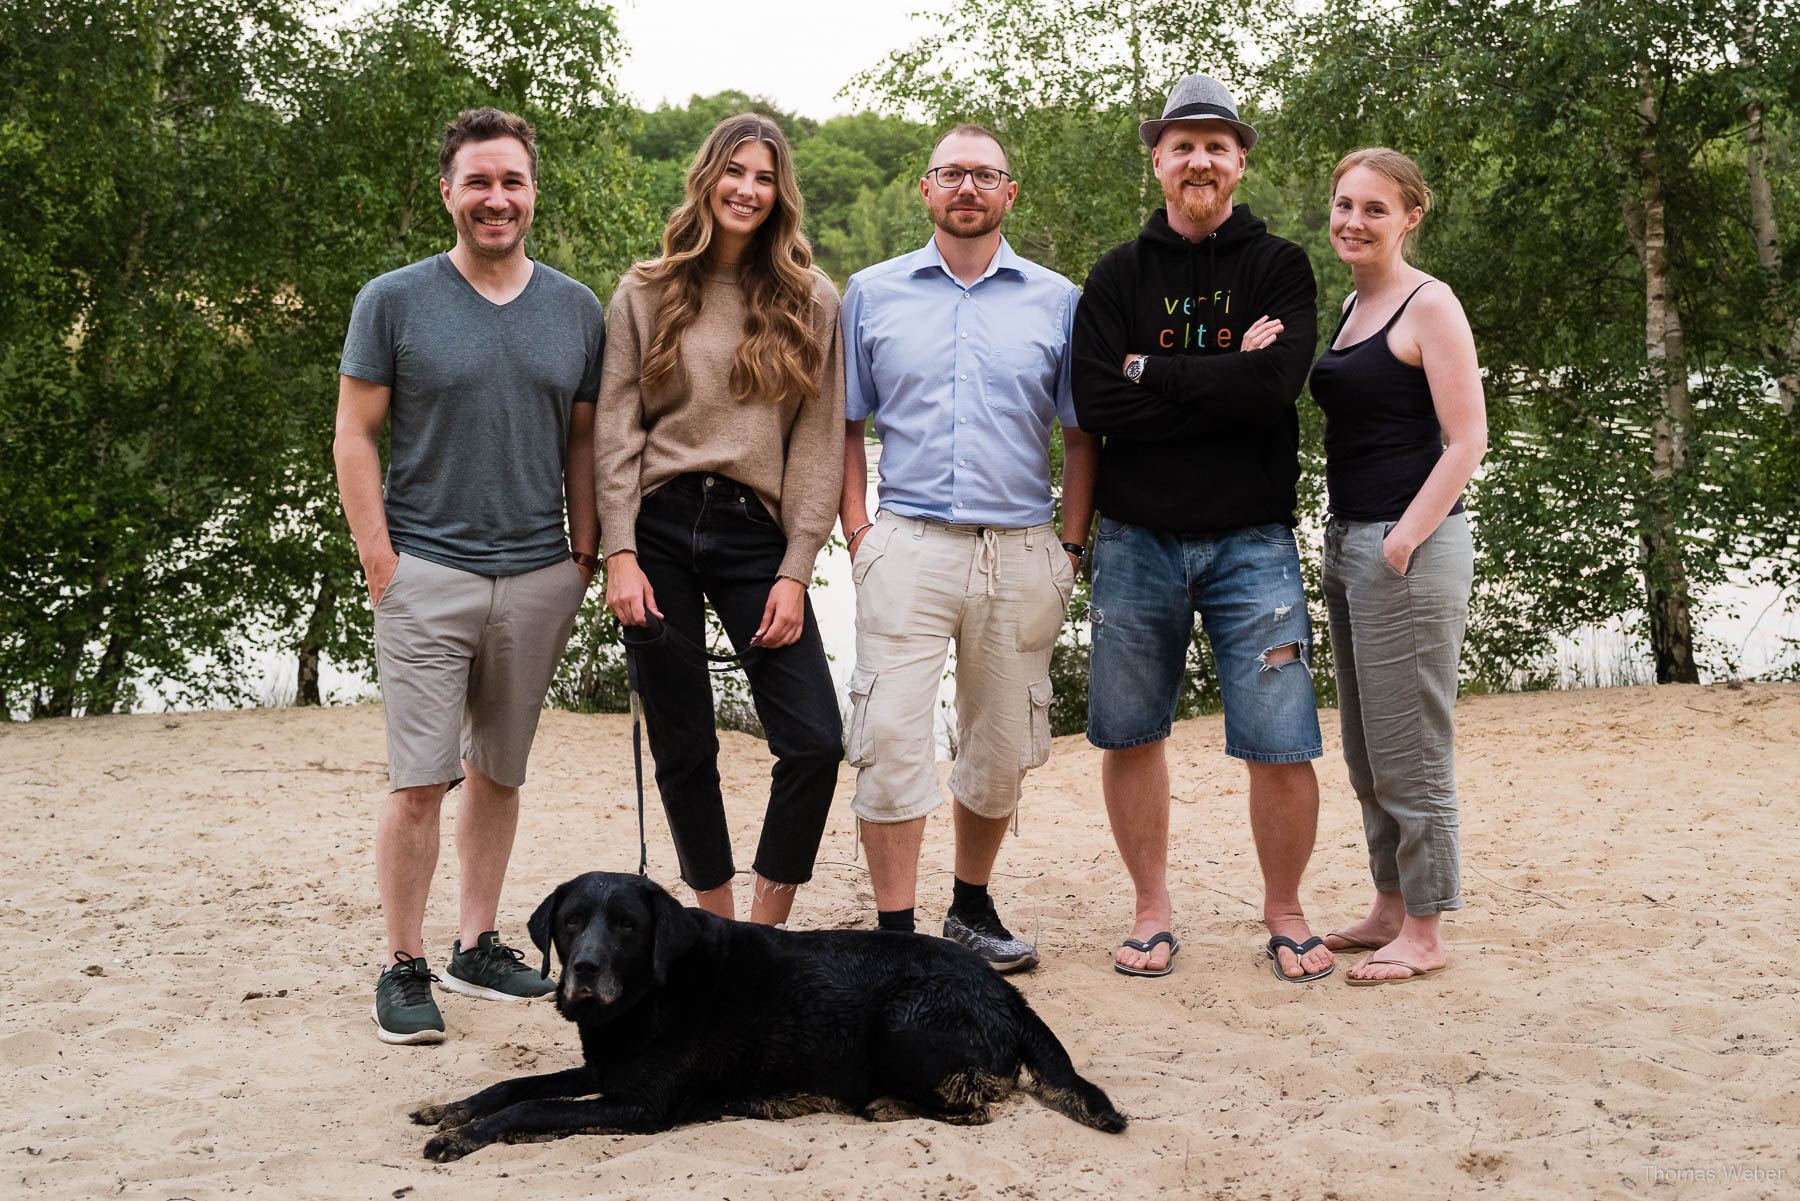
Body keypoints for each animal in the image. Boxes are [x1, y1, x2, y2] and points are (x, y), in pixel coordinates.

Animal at [412, 867, 1123, 1159]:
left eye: (627, 927)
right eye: (571, 922)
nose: (582, 971)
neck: (651, 993)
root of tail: (1006, 992)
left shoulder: (638, 1106)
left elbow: (533, 1107)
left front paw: (464, 1136)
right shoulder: (602, 1070)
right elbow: (517, 1085)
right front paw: (452, 1108)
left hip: (900, 1018)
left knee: (976, 1106)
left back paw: (883, 1104)